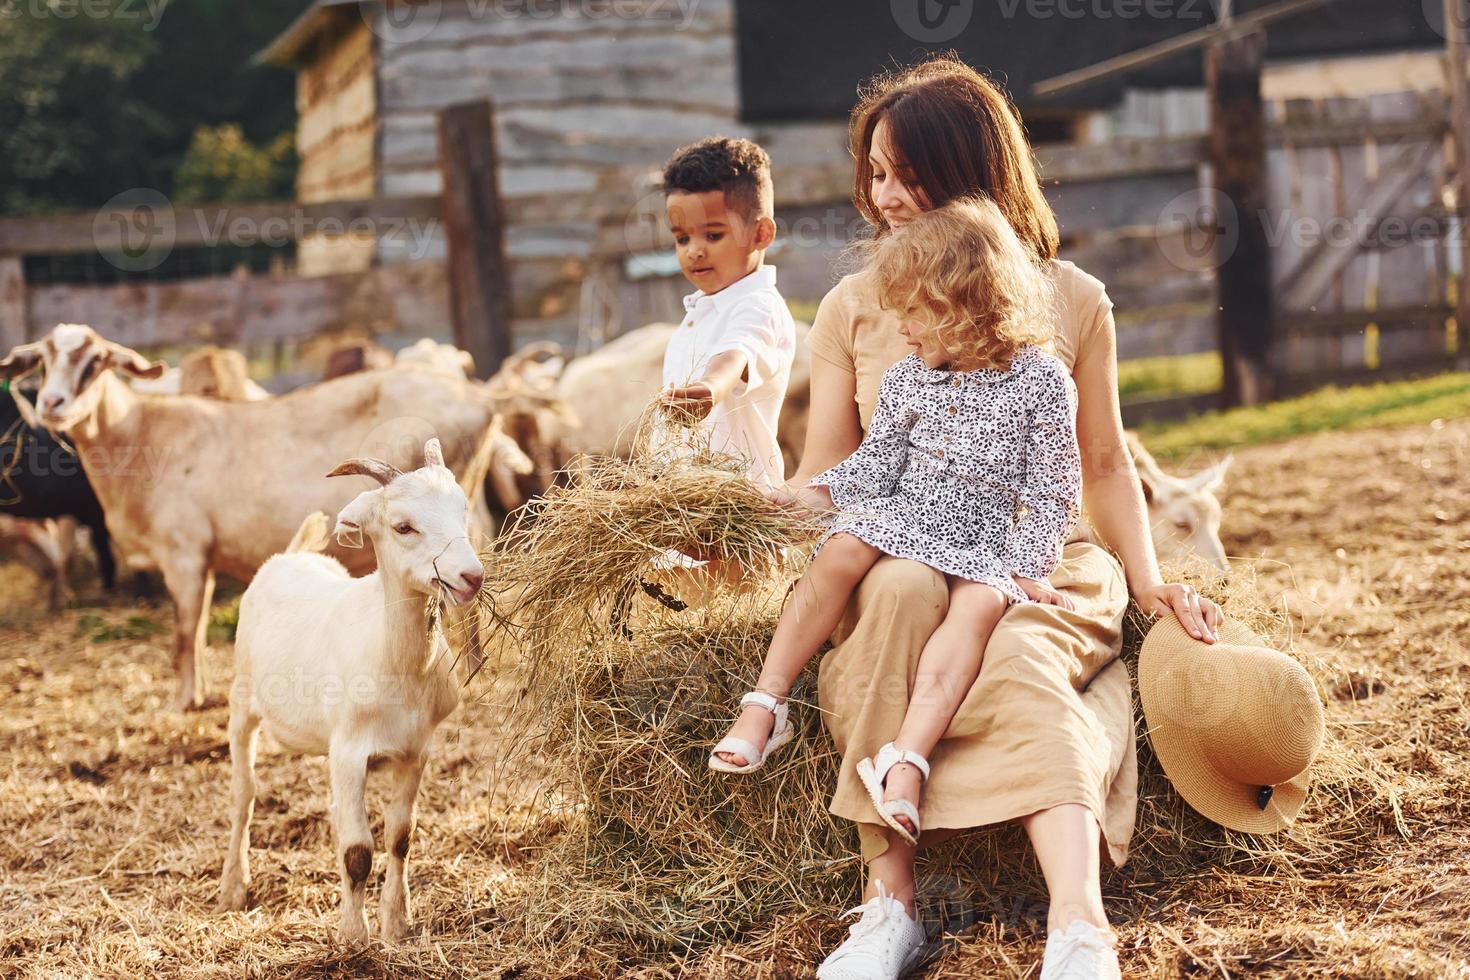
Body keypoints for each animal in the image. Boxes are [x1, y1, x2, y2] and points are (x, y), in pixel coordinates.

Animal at [217, 437, 482, 940]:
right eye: (403, 526)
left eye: (463, 510)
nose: (471, 576)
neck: (396, 664)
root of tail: (291, 555)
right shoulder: (350, 750)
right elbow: (358, 851)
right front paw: (353, 937)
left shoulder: (415, 751)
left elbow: (400, 838)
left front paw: (397, 923)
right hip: (242, 702)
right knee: (244, 794)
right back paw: (233, 888)